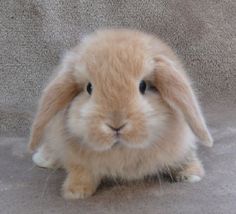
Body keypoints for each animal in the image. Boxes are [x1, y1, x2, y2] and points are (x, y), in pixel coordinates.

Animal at [28, 28, 213, 199]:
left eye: (143, 86)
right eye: (89, 88)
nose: (116, 125)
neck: (122, 152)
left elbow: (184, 158)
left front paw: (191, 174)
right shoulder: (78, 161)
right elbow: (81, 172)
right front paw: (75, 192)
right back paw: (42, 159)